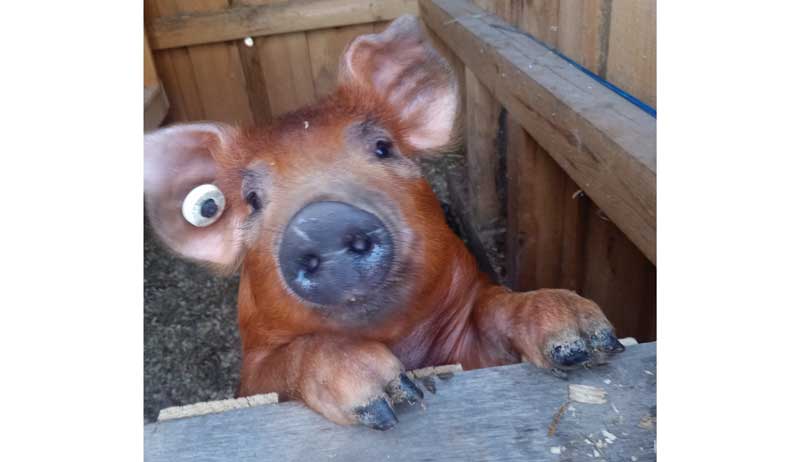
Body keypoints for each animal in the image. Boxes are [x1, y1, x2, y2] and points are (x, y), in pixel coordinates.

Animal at [144, 15, 624, 430]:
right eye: (251, 200)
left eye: (382, 147)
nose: (323, 220)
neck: (399, 340)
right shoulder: (252, 370)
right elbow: (281, 367)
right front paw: (389, 394)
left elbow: (496, 310)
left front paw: (587, 336)